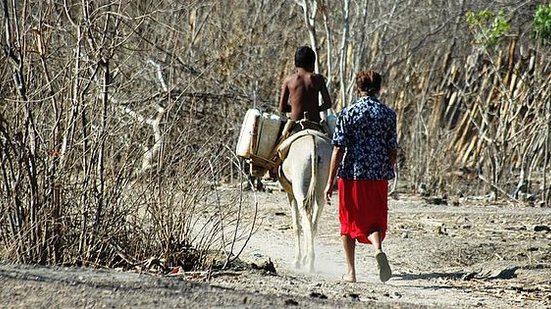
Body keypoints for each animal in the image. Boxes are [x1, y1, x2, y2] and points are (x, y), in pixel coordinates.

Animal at [280, 130, 332, 272]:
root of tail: (314, 148)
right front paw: (302, 258)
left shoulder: (290, 194)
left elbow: (296, 226)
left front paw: (297, 261)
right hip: (321, 190)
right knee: (313, 221)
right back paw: (309, 260)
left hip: (299, 188)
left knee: (306, 217)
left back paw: (309, 263)